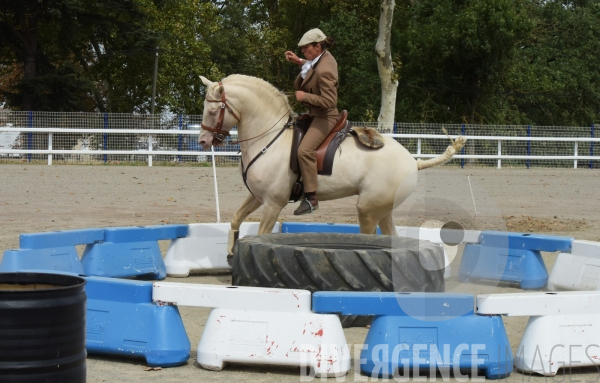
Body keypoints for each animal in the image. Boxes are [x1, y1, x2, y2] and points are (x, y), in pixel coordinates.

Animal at [199, 75, 466, 255]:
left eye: (213, 110)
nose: (202, 141)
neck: (269, 139)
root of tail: (412, 161)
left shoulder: (273, 204)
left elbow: (262, 235)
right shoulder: (257, 197)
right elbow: (235, 219)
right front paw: (230, 253)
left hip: (368, 210)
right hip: (382, 211)